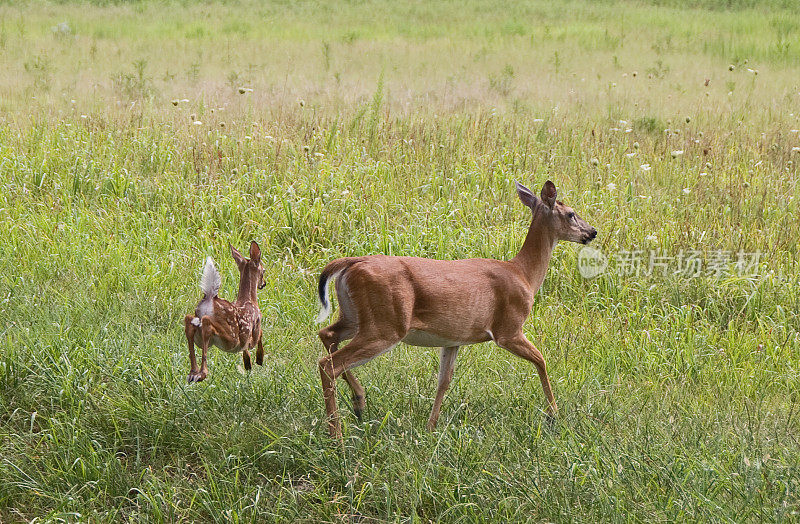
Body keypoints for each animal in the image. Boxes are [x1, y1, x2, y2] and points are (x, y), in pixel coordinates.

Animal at [316, 180, 596, 438]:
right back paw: (336, 434)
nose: (592, 232)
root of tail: (352, 263)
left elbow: (444, 381)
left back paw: (358, 402)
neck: (524, 274)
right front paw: (553, 415)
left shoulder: (453, 339)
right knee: (328, 363)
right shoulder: (508, 328)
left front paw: (430, 427)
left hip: (356, 316)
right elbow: (541, 360)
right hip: (386, 324)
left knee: (327, 335)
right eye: (570, 213)